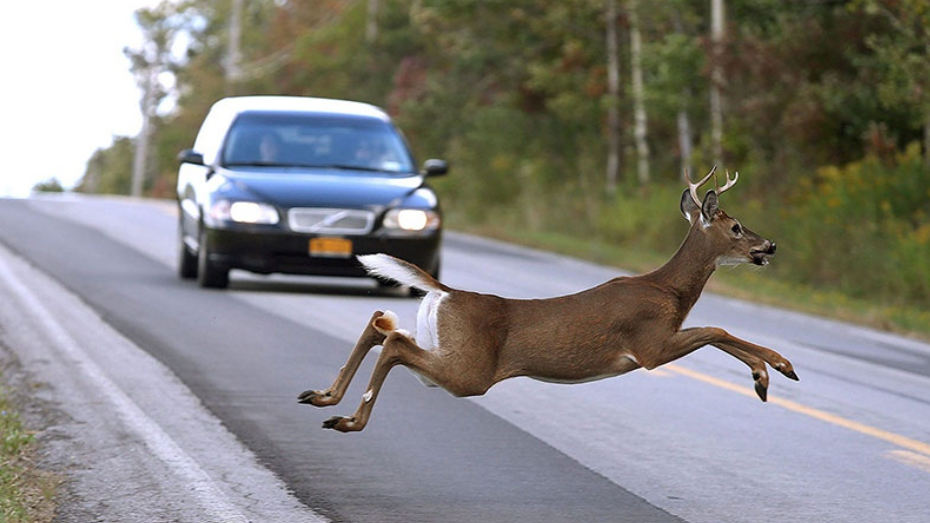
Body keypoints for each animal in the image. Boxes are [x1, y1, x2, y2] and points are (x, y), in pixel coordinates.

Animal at [300, 168, 796, 434]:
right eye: (735, 227)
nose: (769, 245)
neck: (669, 290)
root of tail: (448, 292)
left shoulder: (659, 342)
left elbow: (717, 332)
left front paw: (766, 375)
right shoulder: (650, 345)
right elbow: (716, 329)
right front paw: (775, 369)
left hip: (447, 349)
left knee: (381, 323)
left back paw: (323, 397)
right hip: (470, 371)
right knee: (395, 342)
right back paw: (348, 420)